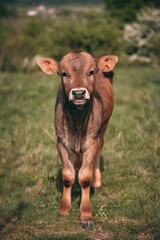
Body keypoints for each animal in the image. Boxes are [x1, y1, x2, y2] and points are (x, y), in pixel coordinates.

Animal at [37, 51, 117, 229]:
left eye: (91, 72)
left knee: (99, 151)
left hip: (103, 128)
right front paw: (64, 209)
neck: (78, 122)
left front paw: (86, 215)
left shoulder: (92, 140)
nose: (79, 93)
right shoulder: (61, 142)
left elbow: (85, 178)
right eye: (64, 73)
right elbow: (67, 177)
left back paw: (97, 183)